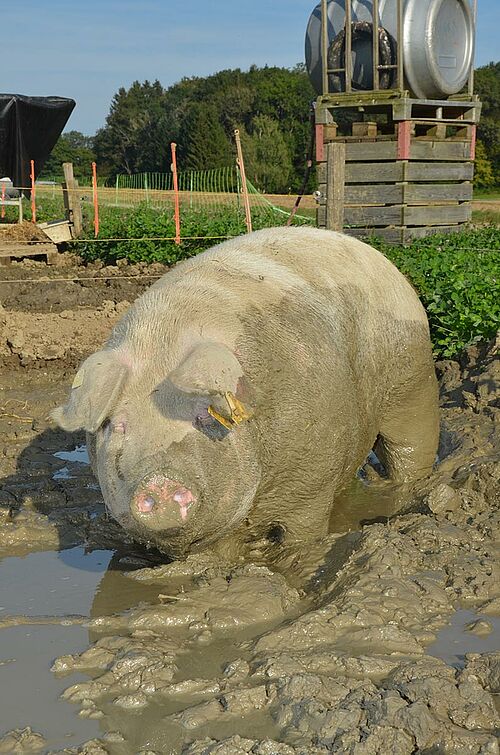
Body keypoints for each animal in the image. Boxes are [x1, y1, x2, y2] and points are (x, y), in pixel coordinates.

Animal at [50, 227, 438, 560]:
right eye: (117, 425)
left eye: (202, 418)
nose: (158, 482)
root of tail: (377, 256)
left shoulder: (313, 481)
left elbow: (302, 530)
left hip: (412, 380)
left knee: (410, 446)